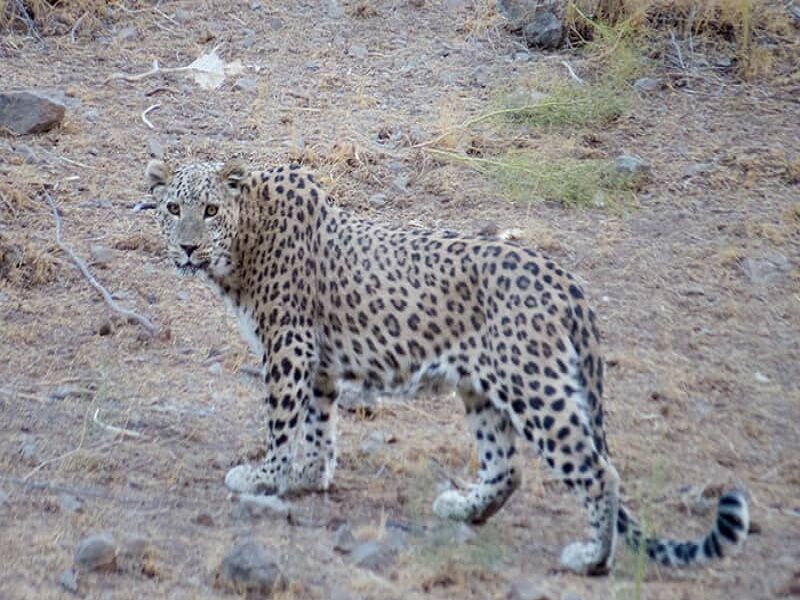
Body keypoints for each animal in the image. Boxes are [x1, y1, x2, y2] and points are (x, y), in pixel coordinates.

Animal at [147, 159, 752, 576]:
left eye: (210, 211)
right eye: (174, 209)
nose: (187, 250)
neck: (242, 246)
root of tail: (565, 280)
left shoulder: (290, 345)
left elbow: (281, 418)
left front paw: (264, 476)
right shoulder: (316, 361)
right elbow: (318, 424)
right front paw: (305, 477)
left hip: (536, 388)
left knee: (598, 470)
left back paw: (591, 559)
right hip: (484, 390)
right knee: (507, 467)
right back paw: (465, 510)